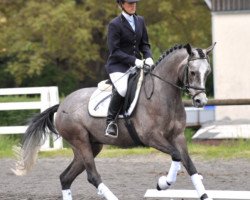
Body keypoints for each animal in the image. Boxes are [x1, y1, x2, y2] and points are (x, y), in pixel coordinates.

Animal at [12, 43, 215, 200]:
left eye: (207, 72)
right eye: (193, 72)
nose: (201, 101)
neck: (163, 95)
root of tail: (62, 104)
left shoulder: (178, 136)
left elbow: (190, 165)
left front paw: (204, 195)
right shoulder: (151, 137)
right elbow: (176, 155)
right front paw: (163, 183)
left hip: (90, 146)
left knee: (65, 177)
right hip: (80, 141)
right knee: (92, 176)